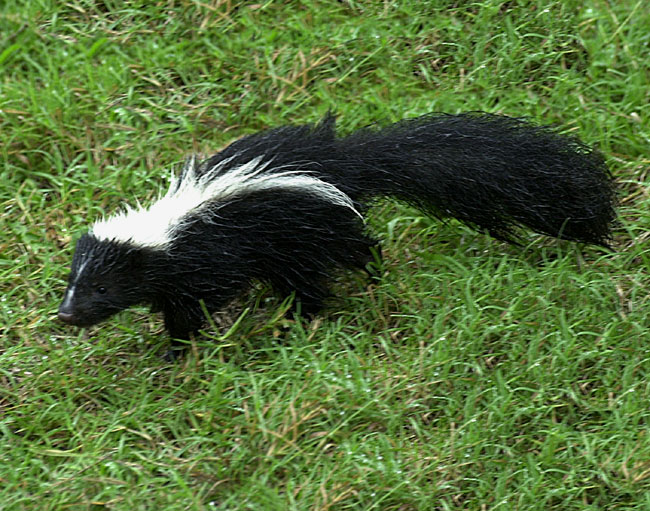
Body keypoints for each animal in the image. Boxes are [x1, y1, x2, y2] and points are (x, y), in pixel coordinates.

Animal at [58, 113, 616, 348]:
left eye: (101, 289)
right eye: (71, 284)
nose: (65, 315)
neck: (171, 228)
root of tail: (348, 162)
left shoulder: (211, 255)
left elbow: (199, 299)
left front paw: (184, 345)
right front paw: (176, 345)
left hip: (313, 228)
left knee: (341, 259)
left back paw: (329, 302)